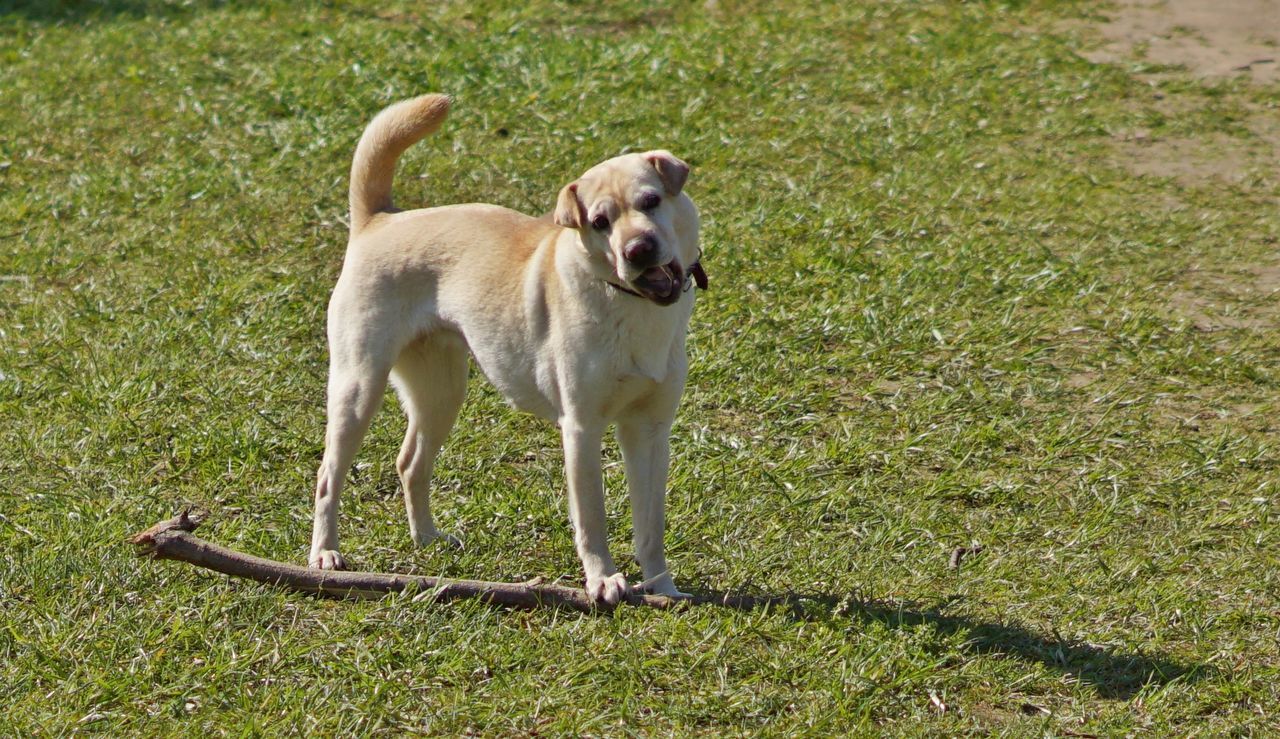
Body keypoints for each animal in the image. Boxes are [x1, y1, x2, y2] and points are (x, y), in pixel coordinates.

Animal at [309, 92, 711, 601]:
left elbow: (651, 523)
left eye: (651, 200)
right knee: (328, 476)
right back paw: (325, 553)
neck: (631, 307)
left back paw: (427, 539)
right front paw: (603, 579)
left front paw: (662, 587)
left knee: (410, 462)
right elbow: (592, 519)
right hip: (359, 387)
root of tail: (377, 220)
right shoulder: (581, 428)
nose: (638, 250)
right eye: (600, 222)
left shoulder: (650, 429)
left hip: (442, 393)